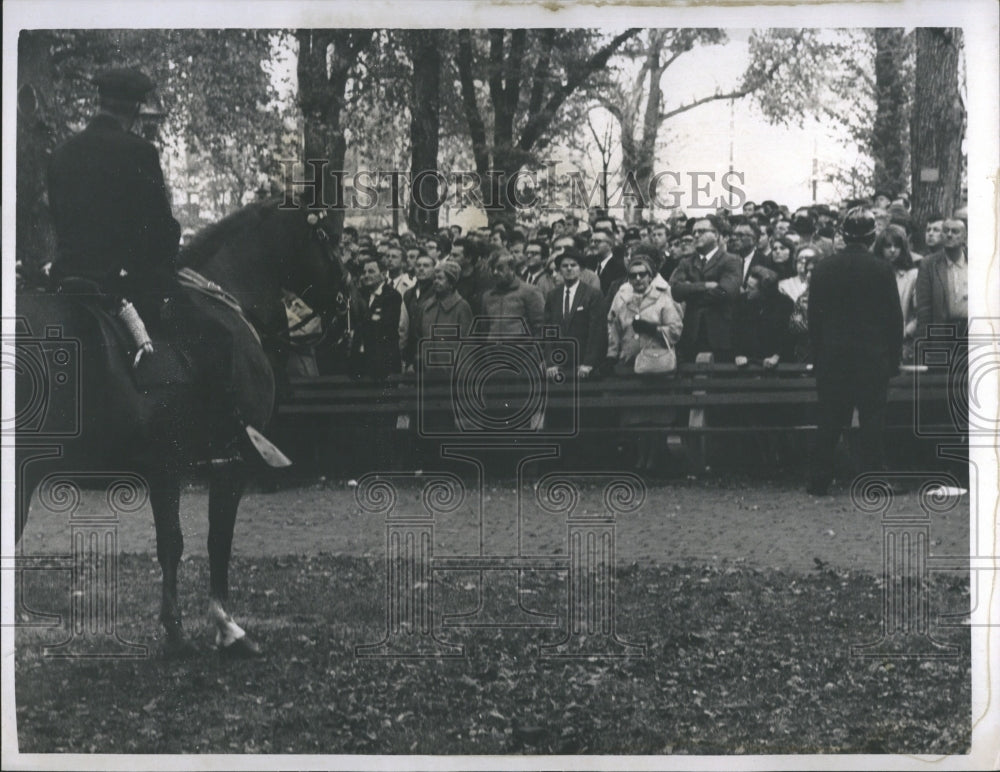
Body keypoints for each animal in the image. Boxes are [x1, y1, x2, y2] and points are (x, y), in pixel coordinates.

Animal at [13, 199, 350, 656]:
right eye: (327, 237)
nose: (346, 297)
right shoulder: (230, 462)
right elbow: (217, 540)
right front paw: (226, 626)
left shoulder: (164, 465)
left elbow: (170, 543)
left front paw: (173, 628)